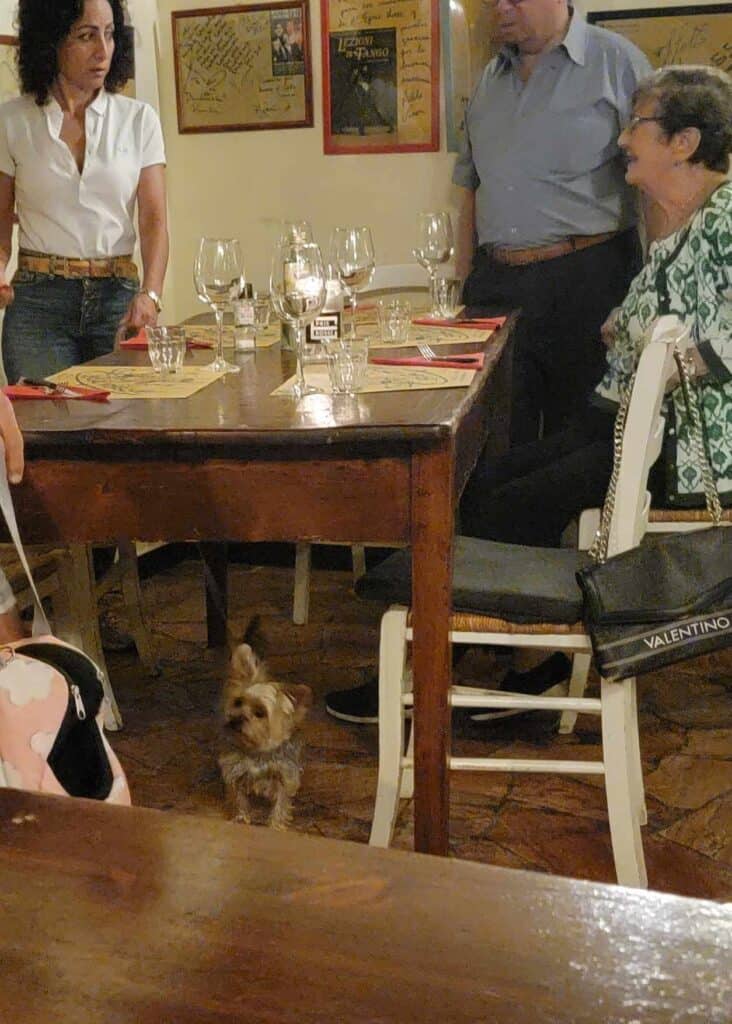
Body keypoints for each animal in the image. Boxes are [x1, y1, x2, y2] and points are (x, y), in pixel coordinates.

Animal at [216, 622, 311, 831]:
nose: (235, 720)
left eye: (260, 713)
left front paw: (275, 826)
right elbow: (239, 799)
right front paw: (241, 818)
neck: (257, 751)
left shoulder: (285, 775)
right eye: (238, 702)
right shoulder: (235, 772)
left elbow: (281, 804)